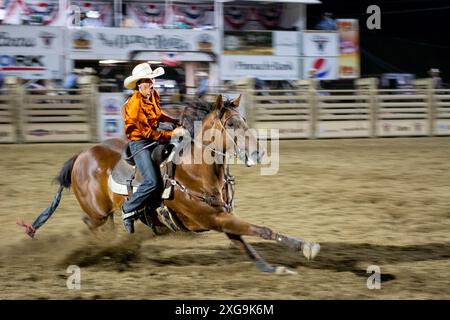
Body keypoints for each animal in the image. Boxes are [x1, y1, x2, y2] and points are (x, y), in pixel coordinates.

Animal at [18, 94, 320, 274]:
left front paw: (274, 267)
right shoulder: (214, 218)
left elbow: (246, 244)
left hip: (105, 213)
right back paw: (106, 251)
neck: (197, 171)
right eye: (232, 124)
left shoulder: (223, 218)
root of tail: (80, 155)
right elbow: (261, 230)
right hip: (97, 213)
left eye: (244, 120)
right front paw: (306, 247)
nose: (258, 153)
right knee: (91, 225)